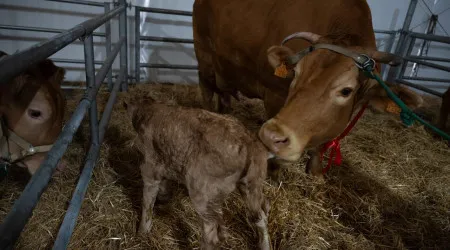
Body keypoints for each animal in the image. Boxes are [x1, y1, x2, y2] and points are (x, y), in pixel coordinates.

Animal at [123, 95, 270, 250]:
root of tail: (249, 143)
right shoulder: (165, 161)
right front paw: (164, 198)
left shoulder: (149, 167)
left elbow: (147, 203)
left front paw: (141, 233)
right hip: (251, 186)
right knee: (261, 215)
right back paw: (265, 245)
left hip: (203, 192)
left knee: (211, 231)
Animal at [192, 0, 424, 177]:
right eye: (295, 73)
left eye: (346, 91)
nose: (268, 134)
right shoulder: (274, 94)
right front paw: (274, 170)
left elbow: (320, 147)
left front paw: (316, 172)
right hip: (205, 56)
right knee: (206, 88)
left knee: (224, 93)